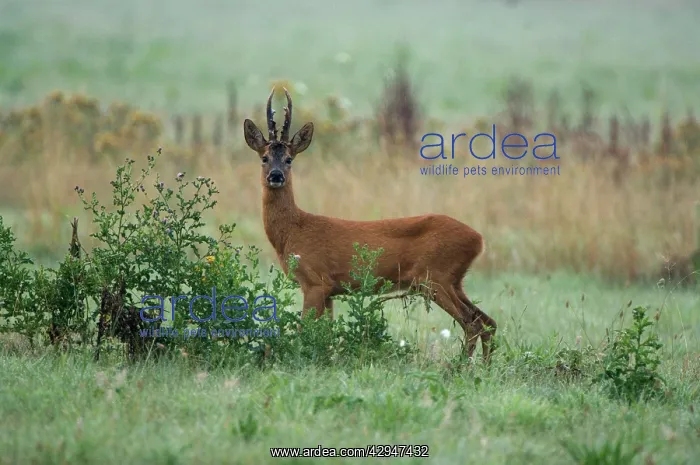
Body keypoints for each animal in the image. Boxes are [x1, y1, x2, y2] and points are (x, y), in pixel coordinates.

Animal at [242, 88, 497, 361]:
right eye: (264, 158)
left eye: (289, 159)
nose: (276, 176)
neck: (293, 230)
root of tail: (479, 240)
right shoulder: (330, 290)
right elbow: (325, 333)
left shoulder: (314, 281)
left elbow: (304, 330)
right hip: (453, 280)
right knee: (488, 321)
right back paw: (482, 365)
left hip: (435, 277)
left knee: (472, 322)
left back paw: (461, 366)